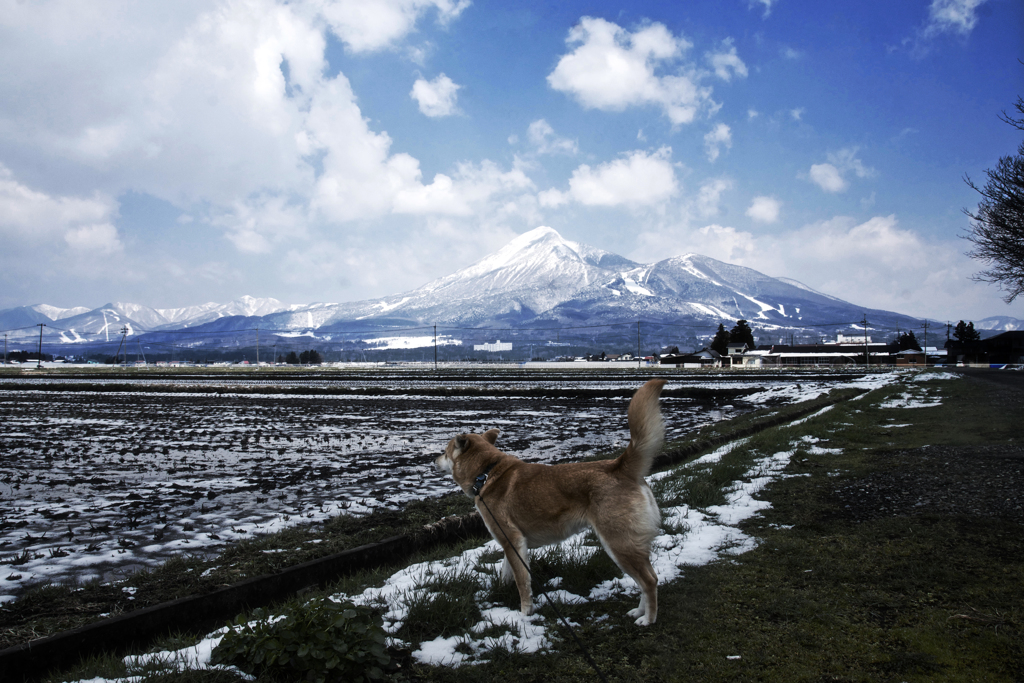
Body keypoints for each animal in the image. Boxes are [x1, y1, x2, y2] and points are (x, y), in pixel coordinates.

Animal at [432, 378, 663, 626]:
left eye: (445, 452)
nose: (434, 460)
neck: (486, 473)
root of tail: (619, 467)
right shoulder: (513, 544)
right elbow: (507, 572)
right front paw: (502, 591)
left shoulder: (512, 540)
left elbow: (523, 583)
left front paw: (525, 613)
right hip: (630, 545)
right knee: (649, 577)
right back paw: (639, 612)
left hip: (619, 543)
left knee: (649, 581)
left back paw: (648, 619)